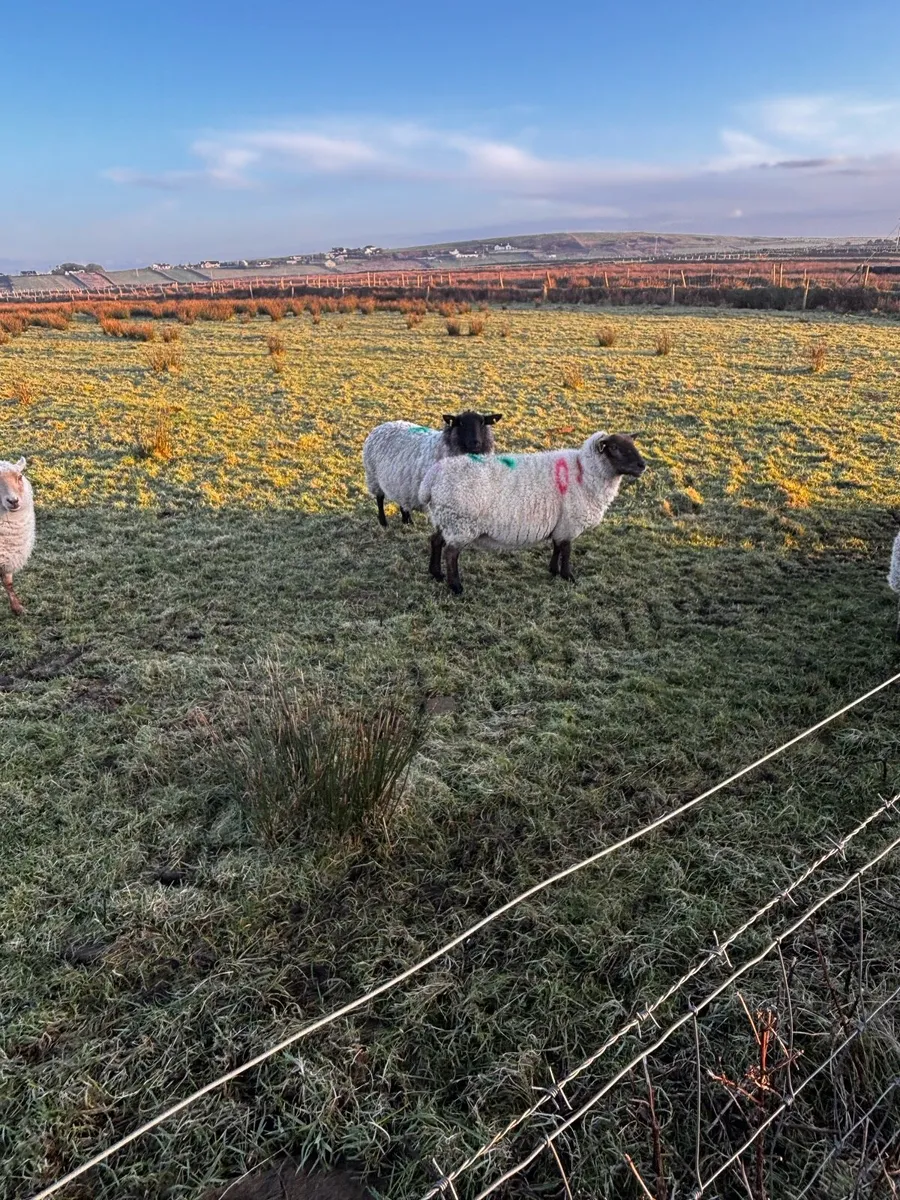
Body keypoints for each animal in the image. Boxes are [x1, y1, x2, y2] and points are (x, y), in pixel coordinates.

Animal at [362, 410, 502, 527]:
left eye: (482, 422)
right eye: (461, 423)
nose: (475, 443)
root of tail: (381, 426)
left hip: (402, 482)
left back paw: (408, 521)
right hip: (373, 476)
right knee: (380, 499)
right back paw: (383, 522)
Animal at [419, 431, 645, 594]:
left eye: (632, 444)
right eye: (614, 448)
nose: (642, 465)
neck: (584, 472)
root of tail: (433, 476)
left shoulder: (560, 524)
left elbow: (557, 547)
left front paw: (553, 571)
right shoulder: (569, 523)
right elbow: (566, 550)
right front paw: (568, 576)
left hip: (445, 519)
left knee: (435, 541)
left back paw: (436, 574)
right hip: (460, 523)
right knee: (451, 553)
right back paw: (456, 587)